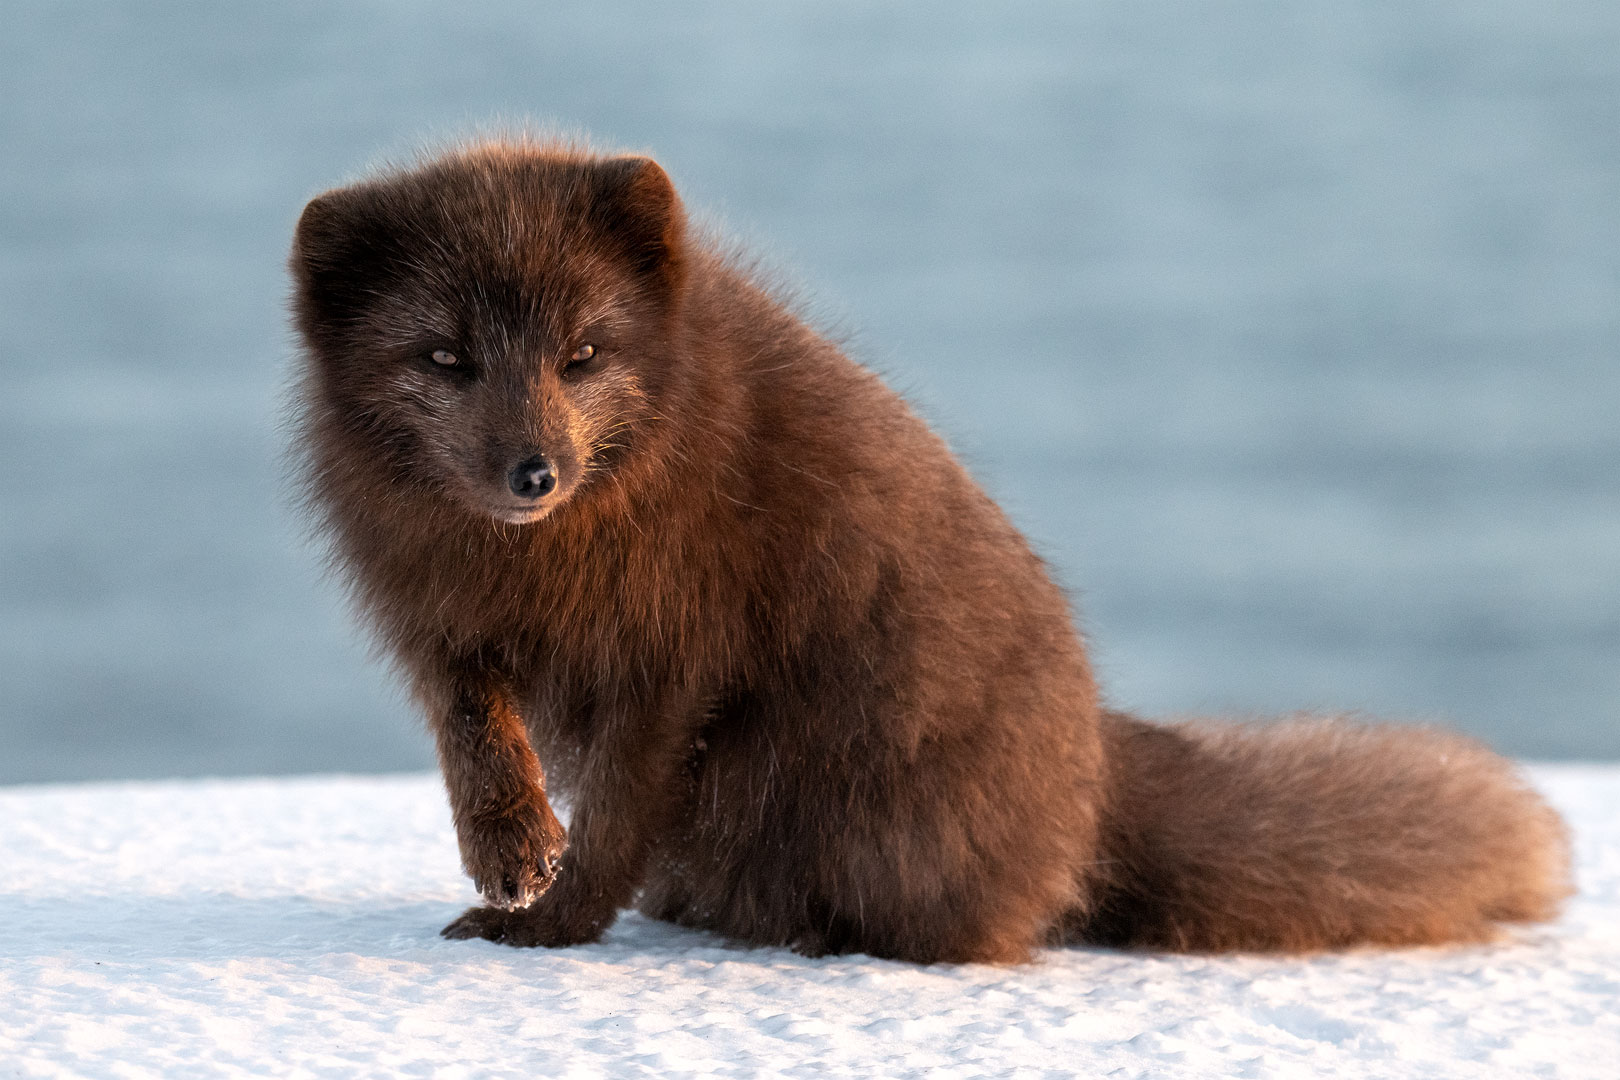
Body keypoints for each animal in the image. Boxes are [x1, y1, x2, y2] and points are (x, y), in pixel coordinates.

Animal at [291, 137, 1568, 965]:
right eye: (446, 358)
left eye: (585, 353)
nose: (533, 473)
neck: (544, 557)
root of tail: (1095, 780)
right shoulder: (436, 616)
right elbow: (473, 727)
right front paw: (511, 848)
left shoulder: (676, 654)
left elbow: (616, 810)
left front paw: (550, 925)